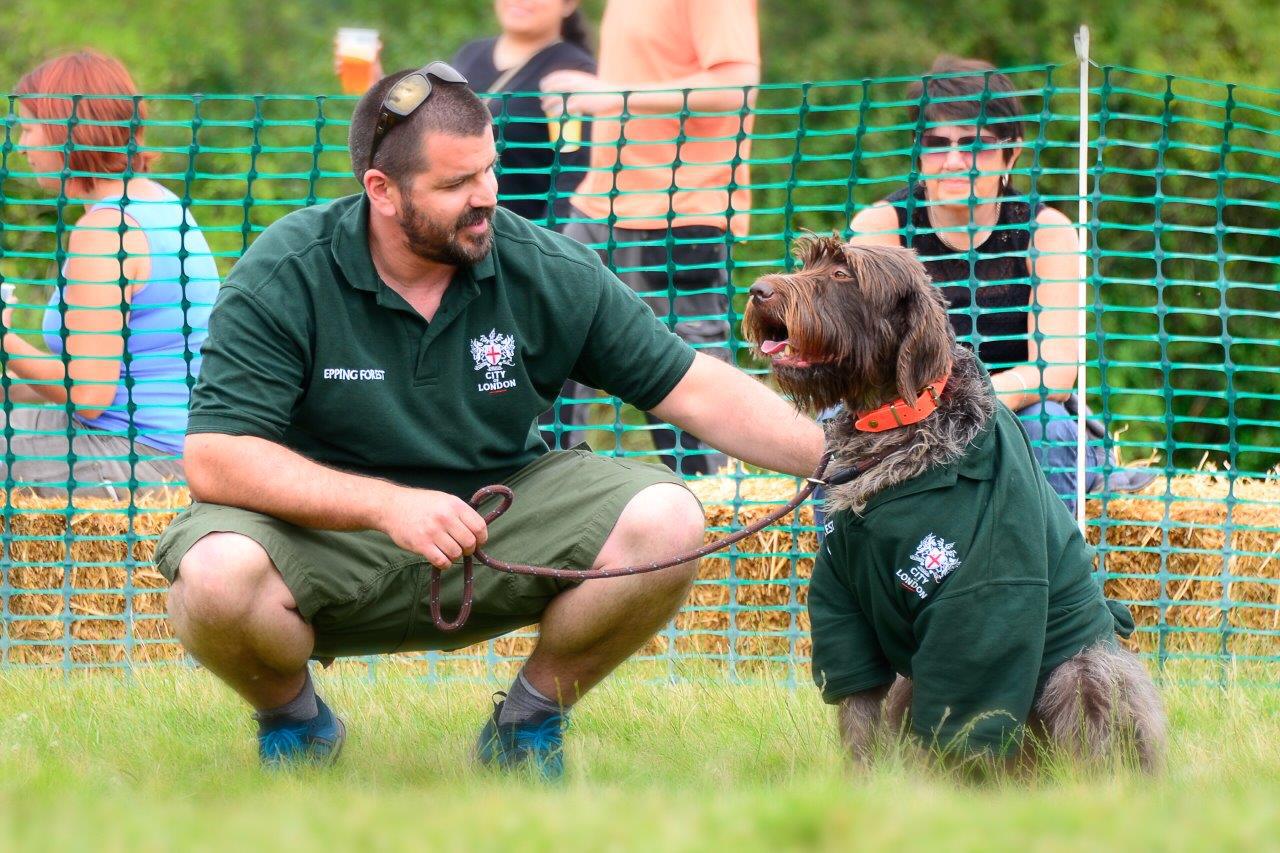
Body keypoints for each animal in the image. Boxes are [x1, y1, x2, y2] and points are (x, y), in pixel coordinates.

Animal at [747, 235, 1167, 768]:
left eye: (844, 273)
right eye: (808, 263)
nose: (758, 290)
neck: (895, 424)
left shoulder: (979, 603)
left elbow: (961, 708)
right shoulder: (843, 609)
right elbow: (859, 715)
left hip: (1086, 666)